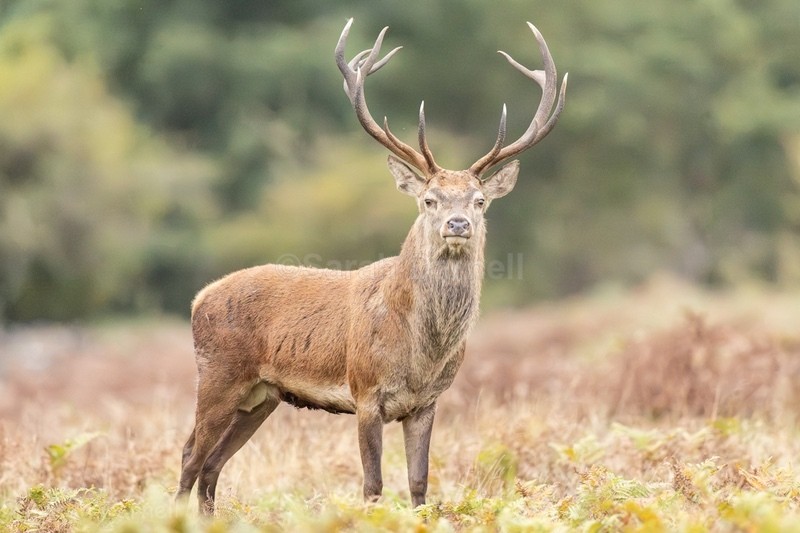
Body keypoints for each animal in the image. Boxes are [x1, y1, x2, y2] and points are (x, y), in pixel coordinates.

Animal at [176, 18, 567, 515]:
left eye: (480, 201)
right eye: (429, 199)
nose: (458, 223)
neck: (422, 352)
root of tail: (198, 298)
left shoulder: (426, 403)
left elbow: (419, 483)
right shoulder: (365, 392)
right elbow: (373, 484)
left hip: (260, 397)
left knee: (212, 465)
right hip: (218, 375)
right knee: (191, 454)